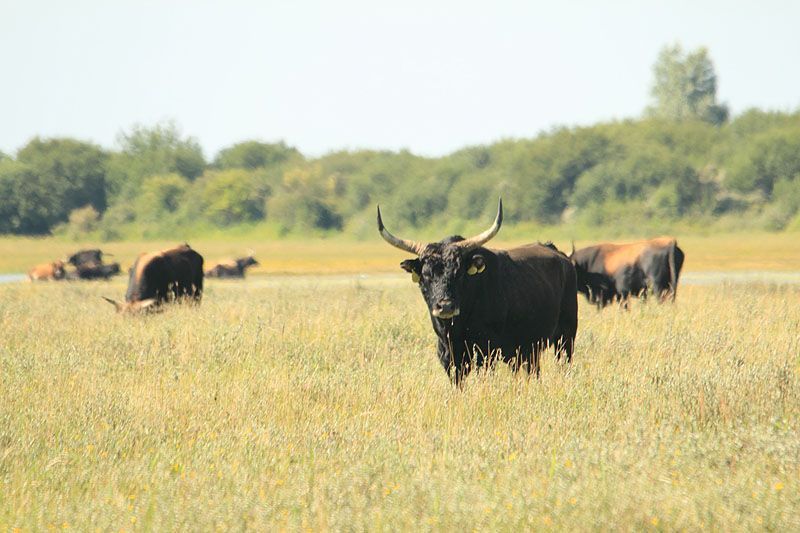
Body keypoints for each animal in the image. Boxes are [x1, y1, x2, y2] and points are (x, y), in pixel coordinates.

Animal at [378, 200, 580, 382]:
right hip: (528, 350)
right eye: (426, 275)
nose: (446, 306)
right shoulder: (450, 359)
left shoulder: (485, 354)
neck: (454, 330)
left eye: (459, 274)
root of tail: (560, 255)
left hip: (565, 338)